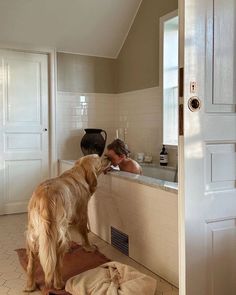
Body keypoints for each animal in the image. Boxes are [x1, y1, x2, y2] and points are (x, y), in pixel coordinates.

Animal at [24, 154, 109, 292]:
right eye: (98, 157)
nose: (107, 156)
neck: (79, 171)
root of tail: (44, 198)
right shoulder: (82, 213)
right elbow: (84, 234)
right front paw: (89, 247)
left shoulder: (67, 220)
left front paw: (69, 247)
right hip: (56, 237)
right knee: (57, 265)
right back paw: (59, 285)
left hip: (33, 235)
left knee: (31, 265)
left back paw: (30, 286)